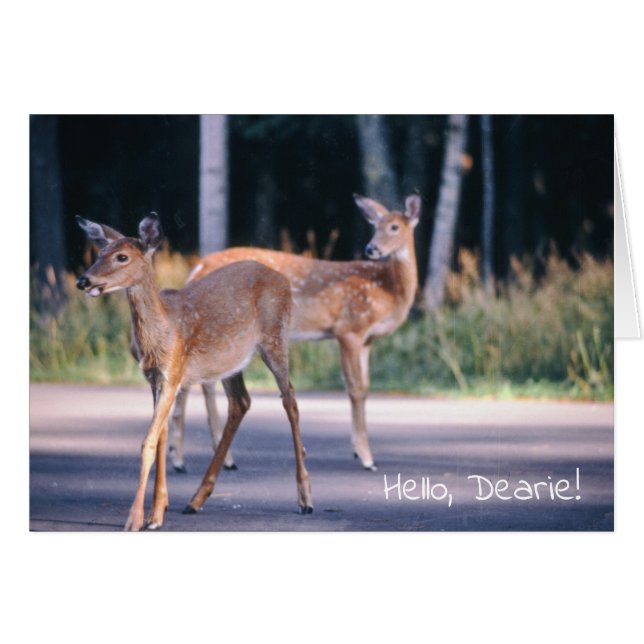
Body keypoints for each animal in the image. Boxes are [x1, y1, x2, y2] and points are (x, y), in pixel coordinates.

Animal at [75, 213, 312, 531]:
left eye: (122, 256)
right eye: (100, 253)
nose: (83, 280)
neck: (161, 334)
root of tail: (283, 279)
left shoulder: (173, 373)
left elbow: (149, 442)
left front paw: (135, 519)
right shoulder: (155, 379)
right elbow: (162, 439)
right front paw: (156, 513)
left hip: (276, 338)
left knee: (290, 400)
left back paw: (305, 499)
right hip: (231, 360)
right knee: (241, 402)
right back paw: (196, 500)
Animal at [168, 193, 421, 474]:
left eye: (394, 227)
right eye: (376, 226)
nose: (371, 249)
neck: (387, 289)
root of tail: (197, 267)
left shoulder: (366, 340)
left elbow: (365, 387)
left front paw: (360, 452)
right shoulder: (349, 329)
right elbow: (354, 389)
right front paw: (366, 457)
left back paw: (206, 459)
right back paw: (186, 460)